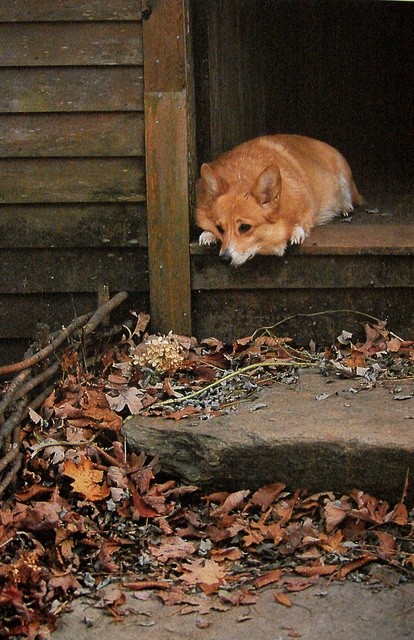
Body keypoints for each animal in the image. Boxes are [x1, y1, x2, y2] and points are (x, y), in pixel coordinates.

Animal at [196, 134, 360, 266]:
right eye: (219, 228)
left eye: (244, 227)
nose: (224, 259)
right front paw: (208, 234)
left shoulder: (307, 206)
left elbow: (302, 221)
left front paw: (296, 232)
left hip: (344, 177)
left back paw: (345, 207)